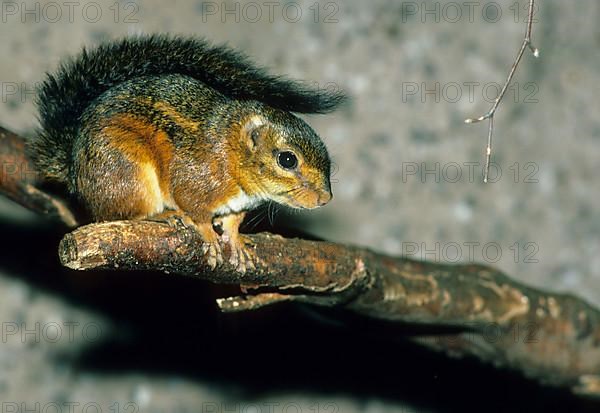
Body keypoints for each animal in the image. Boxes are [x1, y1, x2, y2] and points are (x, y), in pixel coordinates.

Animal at [29, 34, 346, 270]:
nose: (325, 199)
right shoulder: (194, 179)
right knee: (119, 215)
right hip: (128, 173)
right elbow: (195, 209)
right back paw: (162, 215)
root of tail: (73, 170)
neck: (230, 153)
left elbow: (232, 222)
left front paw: (235, 240)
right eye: (287, 159)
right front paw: (207, 234)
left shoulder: (237, 204)